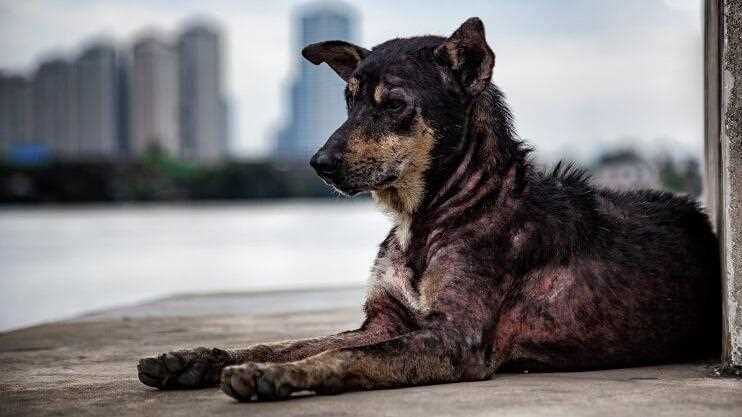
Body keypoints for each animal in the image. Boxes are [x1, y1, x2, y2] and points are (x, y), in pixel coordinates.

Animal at [138, 18, 720, 400]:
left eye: (393, 104)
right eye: (348, 100)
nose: (319, 164)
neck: (428, 217)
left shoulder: (453, 338)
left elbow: (343, 355)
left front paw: (277, 377)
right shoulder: (383, 320)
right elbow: (291, 341)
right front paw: (195, 360)